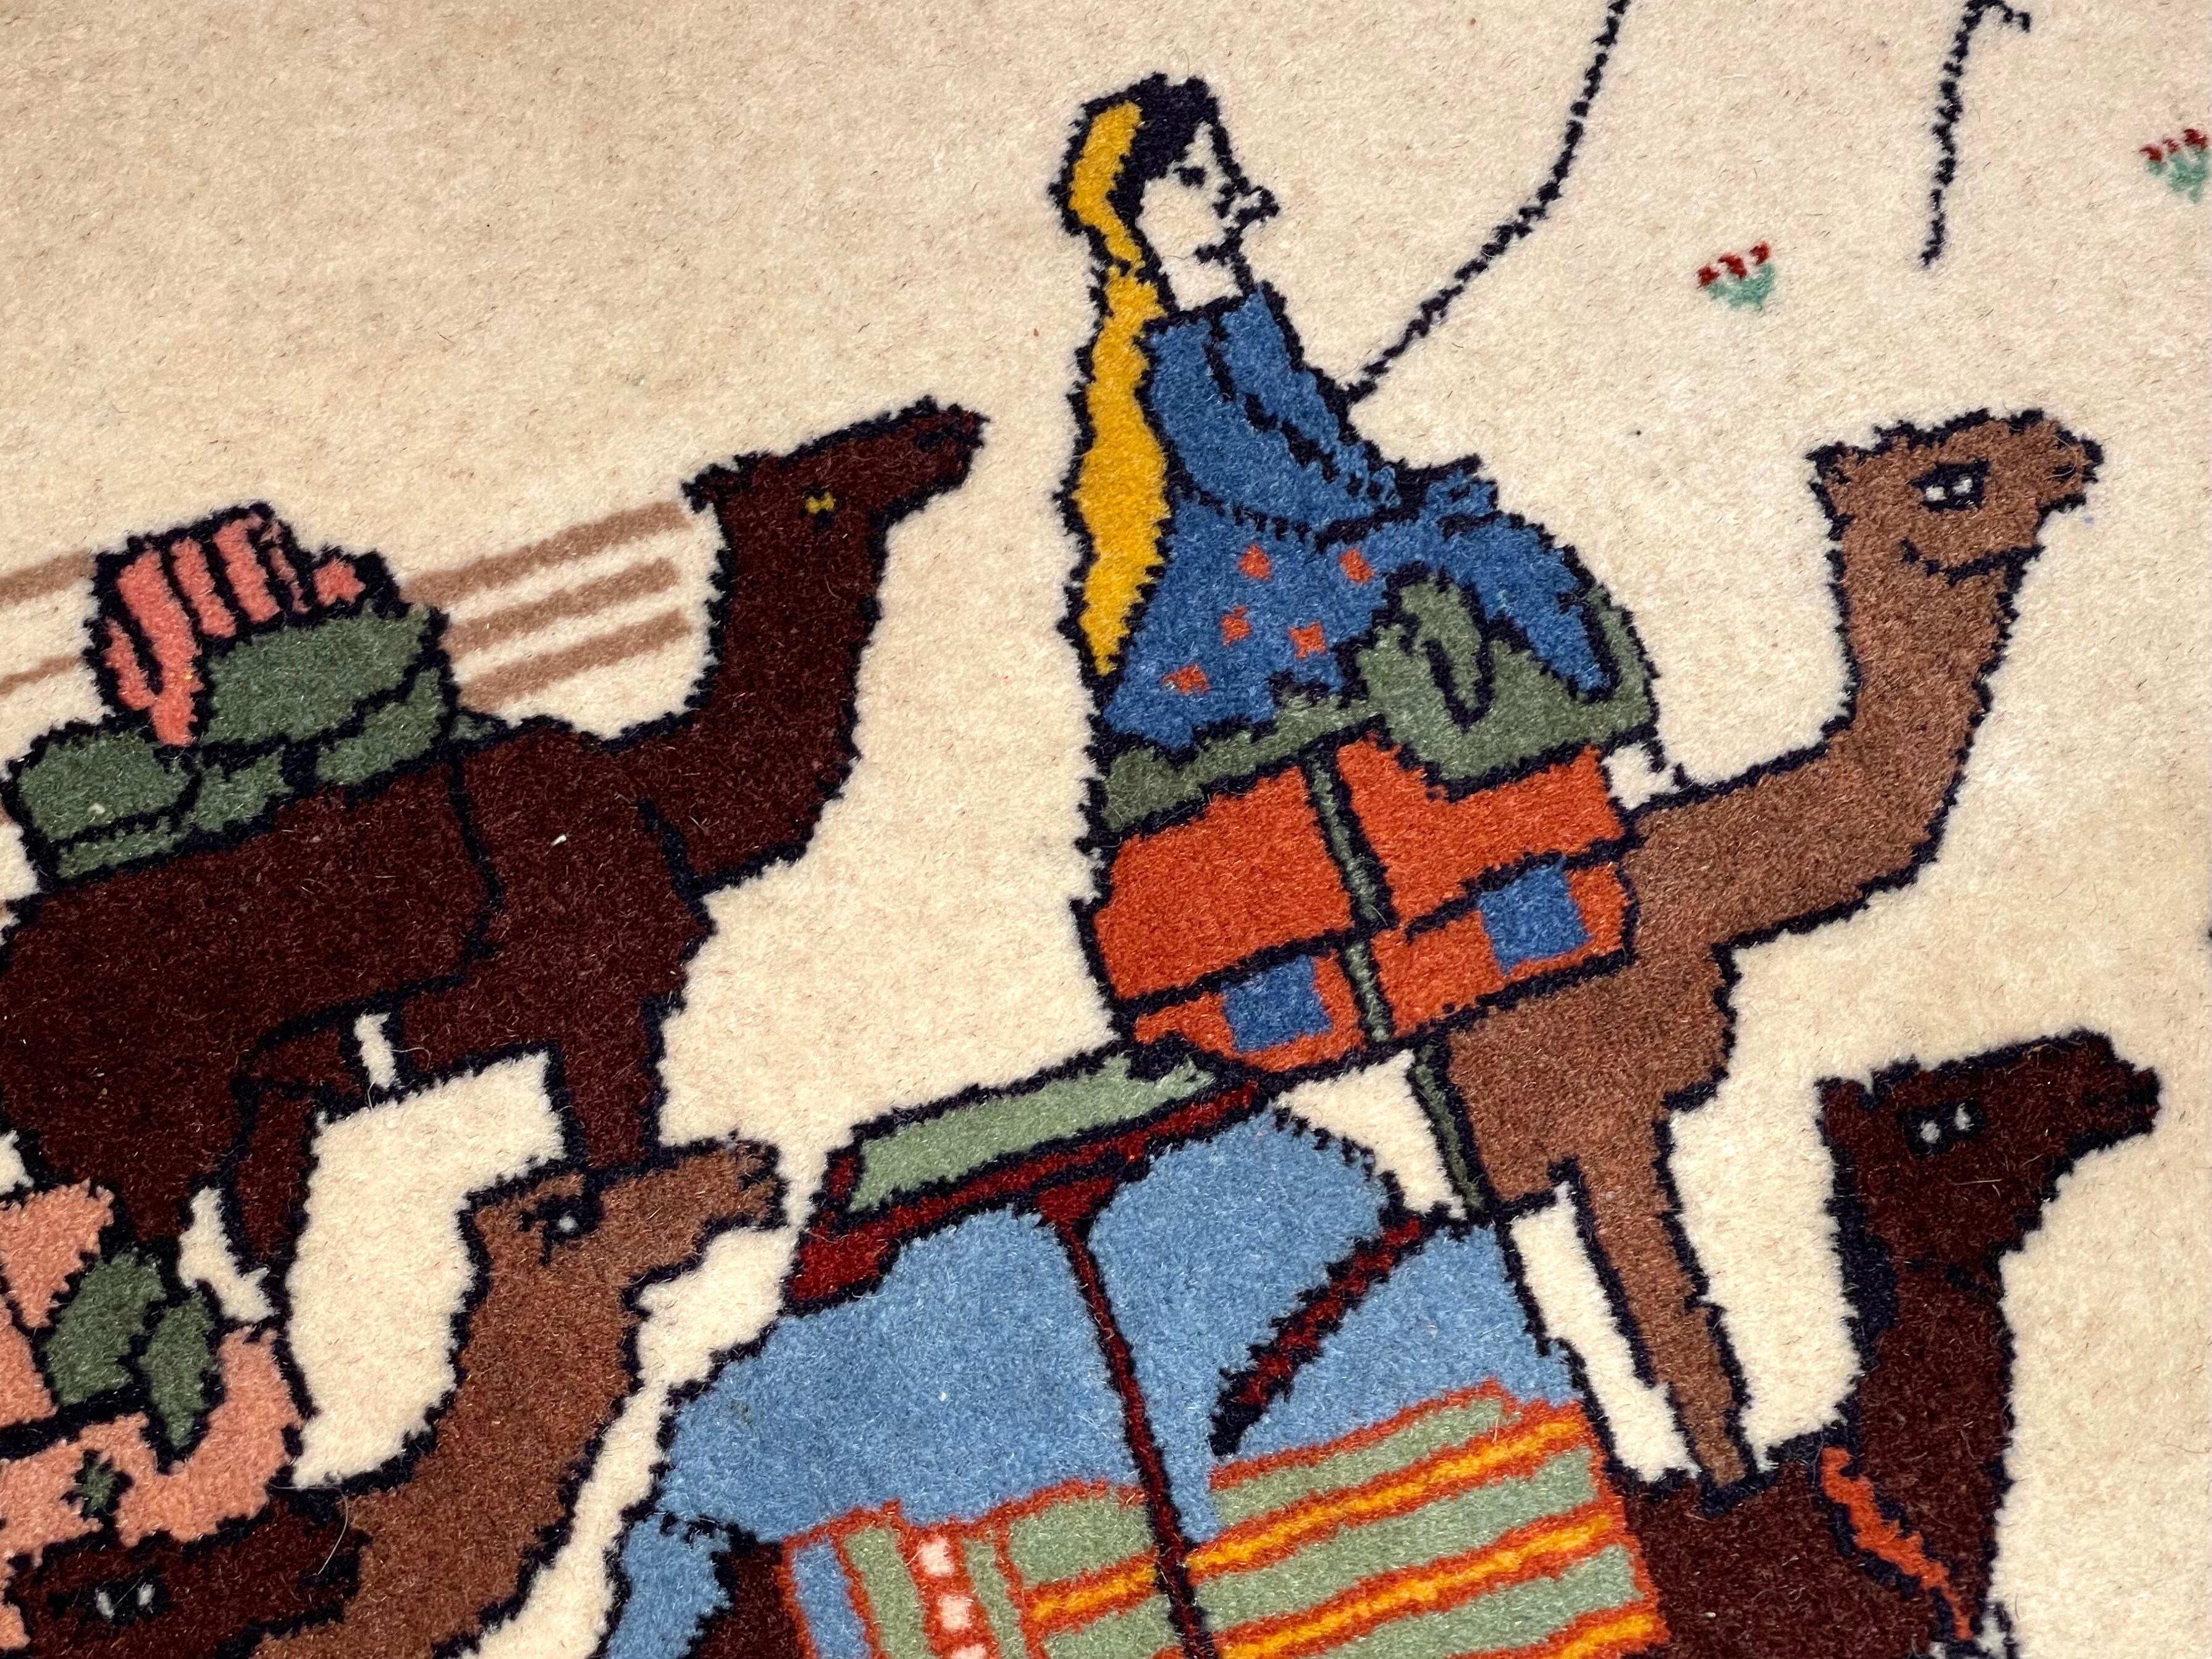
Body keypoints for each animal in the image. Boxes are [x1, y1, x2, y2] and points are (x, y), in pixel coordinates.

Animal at [0, 401, 984, 1266]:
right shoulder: (598, 998)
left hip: (245, 1107)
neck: (663, 798)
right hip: (149, 1127)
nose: (948, 427)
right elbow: (622, 1161)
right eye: (819, 492)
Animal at [1436, 410, 2098, 1486]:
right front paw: (1729, 1490)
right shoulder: (1603, 1117)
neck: (1692, 902)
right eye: (1951, 481)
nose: (2071, 451)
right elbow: (1679, 1340)